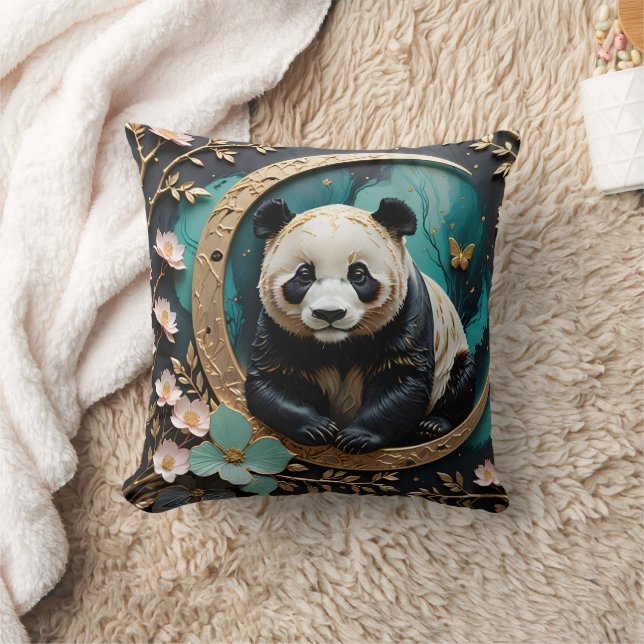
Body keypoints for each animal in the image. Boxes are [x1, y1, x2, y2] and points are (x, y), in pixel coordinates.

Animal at [244, 197, 476, 455]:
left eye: (358, 274)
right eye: (304, 275)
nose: (329, 313)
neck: (337, 345)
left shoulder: (409, 314)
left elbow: (402, 376)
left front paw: (356, 438)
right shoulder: (277, 330)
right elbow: (270, 378)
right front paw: (317, 427)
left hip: (453, 354)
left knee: (461, 380)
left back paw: (434, 425)